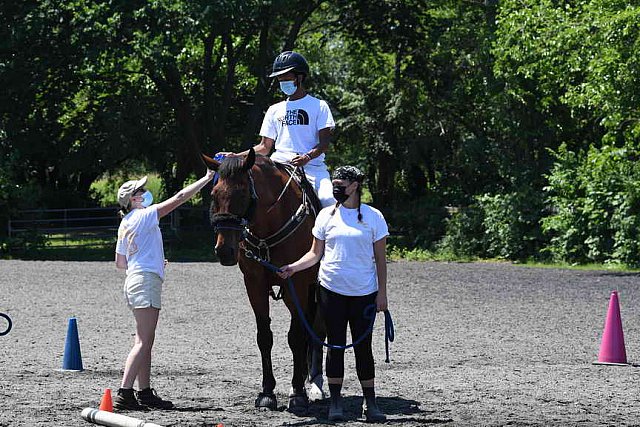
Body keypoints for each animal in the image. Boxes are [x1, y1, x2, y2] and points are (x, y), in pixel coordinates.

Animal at [204, 150, 322, 414]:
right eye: (214, 194)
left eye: (242, 194)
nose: (224, 251)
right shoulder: (255, 284)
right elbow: (264, 337)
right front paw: (267, 392)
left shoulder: (296, 283)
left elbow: (295, 337)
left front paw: (297, 393)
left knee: (314, 329)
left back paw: (314, 382)